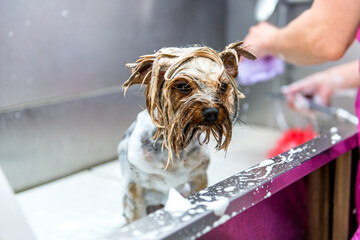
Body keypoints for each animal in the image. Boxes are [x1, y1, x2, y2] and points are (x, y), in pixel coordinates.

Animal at [118, 41, 256, 223]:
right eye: (183, 85)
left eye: (223, 86)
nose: (212, 112)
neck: (175, 148)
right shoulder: (134, 189)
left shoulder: (199, 177)